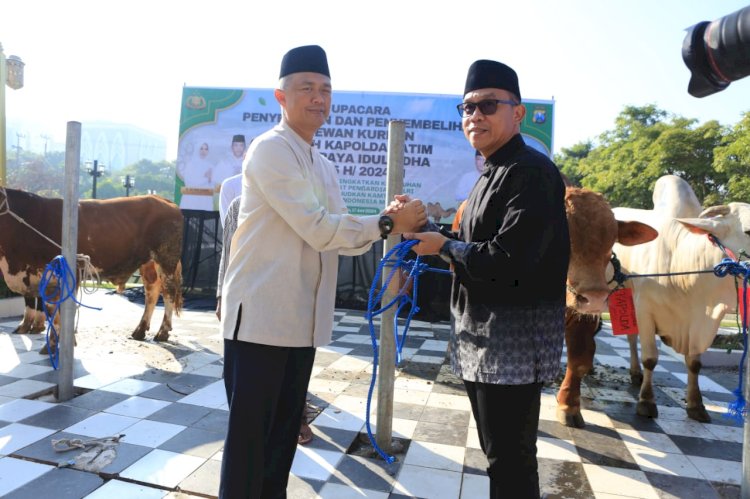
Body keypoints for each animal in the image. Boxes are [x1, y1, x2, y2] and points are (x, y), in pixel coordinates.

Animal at [0, 188, 184, 352]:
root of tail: (162, 200)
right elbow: (49, 309)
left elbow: (59, 313)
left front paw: (56, 344)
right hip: (148, 263)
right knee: (152, 291)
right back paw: (140, 330)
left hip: (166, 259)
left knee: (168, 292)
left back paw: (163, 332)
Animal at [616, 176, 750, 422]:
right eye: (748, 230)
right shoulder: (644, 310)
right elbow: (651, 358)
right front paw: (646, 402)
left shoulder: (699, 322)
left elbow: (694, 363)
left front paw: (696, 405)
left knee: (630, 338)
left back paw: (635, 373)